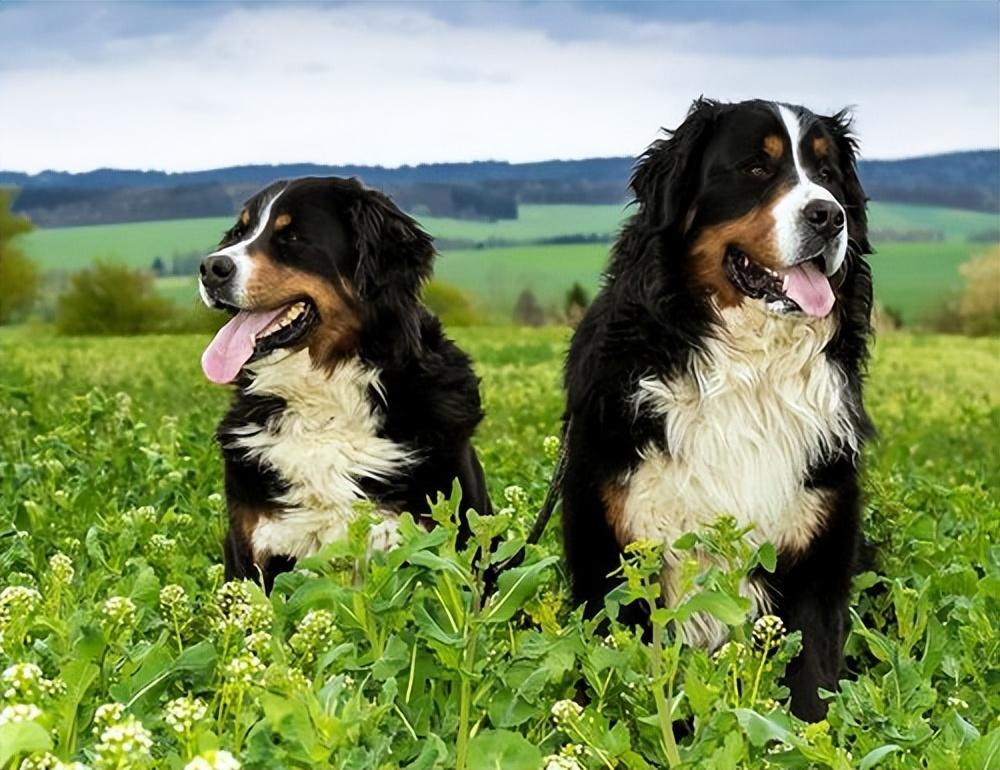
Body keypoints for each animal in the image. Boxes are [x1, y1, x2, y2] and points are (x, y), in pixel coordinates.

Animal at [564, 99, 876, 716]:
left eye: (828, 174)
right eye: (756, 167)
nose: (828, 217)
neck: (750, 370)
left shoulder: (819, 551)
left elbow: (811, 684)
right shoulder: (613, 552)